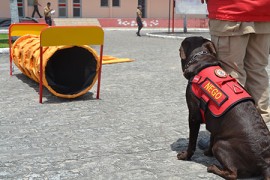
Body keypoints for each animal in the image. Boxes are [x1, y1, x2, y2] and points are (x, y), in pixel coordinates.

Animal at [177, 35, 270, 179]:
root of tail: (264, 163)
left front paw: (185, 156)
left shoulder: (193, 116)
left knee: (233, 173)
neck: (201, 59)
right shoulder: (213, 119)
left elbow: (192, 141)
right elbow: (211, 136)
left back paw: (213, 167)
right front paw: (208, 152)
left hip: (220, 145)